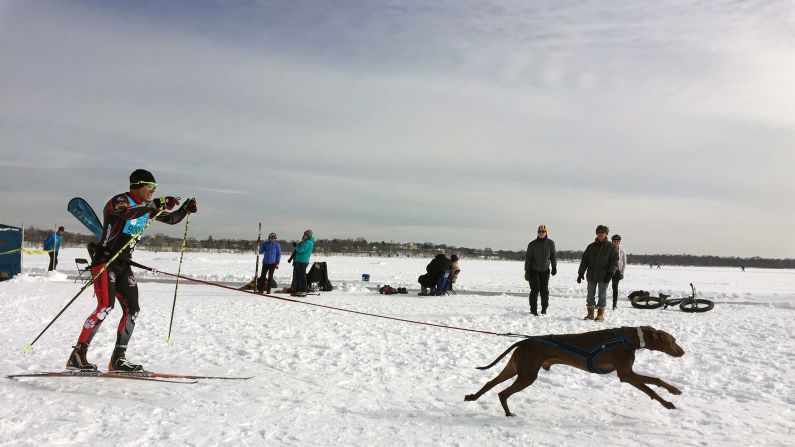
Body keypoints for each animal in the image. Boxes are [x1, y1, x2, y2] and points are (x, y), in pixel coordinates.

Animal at [466, 326, 684, 416]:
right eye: (673, 340)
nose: (683, 352)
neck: (630, 338)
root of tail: (524, 341)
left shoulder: (628, 375)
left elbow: (650, 390)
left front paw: (667, 403)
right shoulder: (626, 374)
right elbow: (656, 380)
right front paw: (674, 390)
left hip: (514, 368)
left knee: (490, 383)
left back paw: (473, 397)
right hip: (527, 375)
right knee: (502, 393)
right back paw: (507, 412)